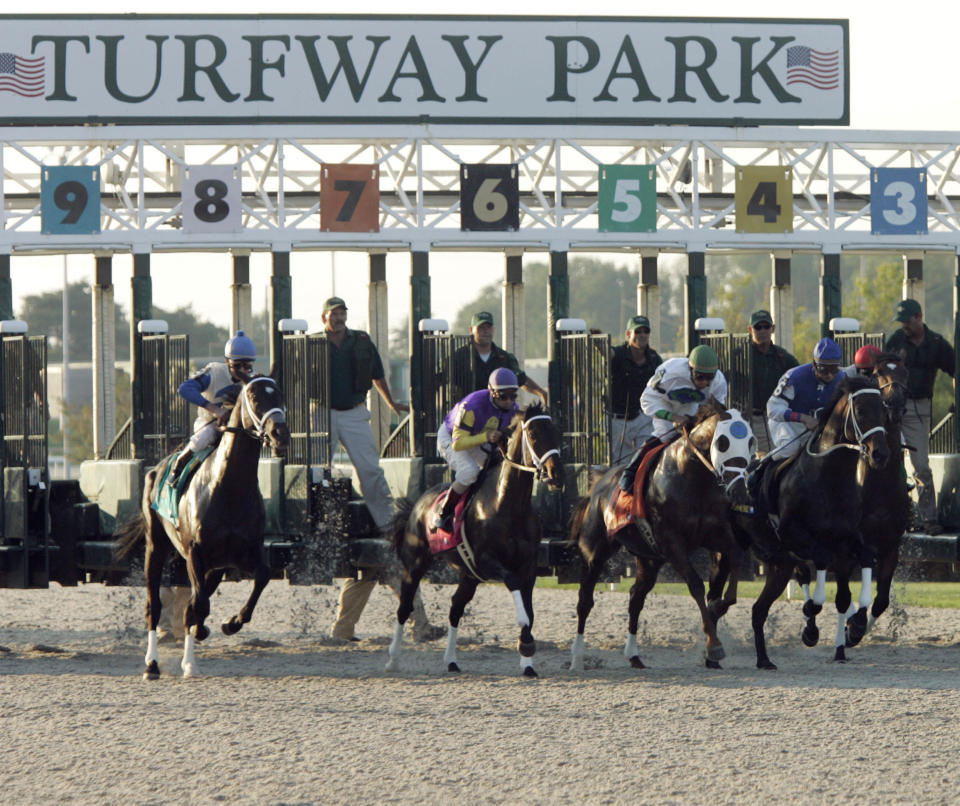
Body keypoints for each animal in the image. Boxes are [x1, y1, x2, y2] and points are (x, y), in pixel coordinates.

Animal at [115, 376, 288, 680]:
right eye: (255, 398)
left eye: (279, 395)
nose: (281, 434)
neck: (229, 488)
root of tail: (155, 469)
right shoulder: (195, 554)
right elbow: (198, 605)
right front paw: (203, 631)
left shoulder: (244, 553)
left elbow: (262, 577)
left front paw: (231, 623)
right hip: (156, 548)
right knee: (153, 606)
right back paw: (152, 664)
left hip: (213, 568)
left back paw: (190, 661)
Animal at [382, 408, 564, 680]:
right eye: (533, 434)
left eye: (557, 432)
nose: (556, 476)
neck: (508, 505)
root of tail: (417, 505)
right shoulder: (487, 561)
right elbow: (515, 589)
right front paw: (525, 640)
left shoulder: (529, 565)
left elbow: (529, 610)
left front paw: (528, 660)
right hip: (415, 564)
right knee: (405, 607)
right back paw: (392, 660)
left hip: (468, 576)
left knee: (455, 608)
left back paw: (451, 661)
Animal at [568, 400, 752, 672]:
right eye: (722, 442)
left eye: (751, 442)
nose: (739, 489)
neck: (692, 478)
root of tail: (598, 484)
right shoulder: (672, 542)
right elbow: (695, 584)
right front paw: (714, 645)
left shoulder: (715, 532)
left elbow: (737, 556)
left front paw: (718, 605)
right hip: (595, 552)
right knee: (585, 601)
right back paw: (578, 658)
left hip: (649, 558)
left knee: (636, 598)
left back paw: (634, 655)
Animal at [740, 376, 888, 672]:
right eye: (861, 411)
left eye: (883, 410)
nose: (880, 454)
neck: (829, 478)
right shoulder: (793, 534)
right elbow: (820, 568)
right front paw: (813, 618)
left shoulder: (847, 540)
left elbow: (863, 562)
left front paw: (856, 623)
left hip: (781, 562)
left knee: (763, 607)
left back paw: (765, 659)